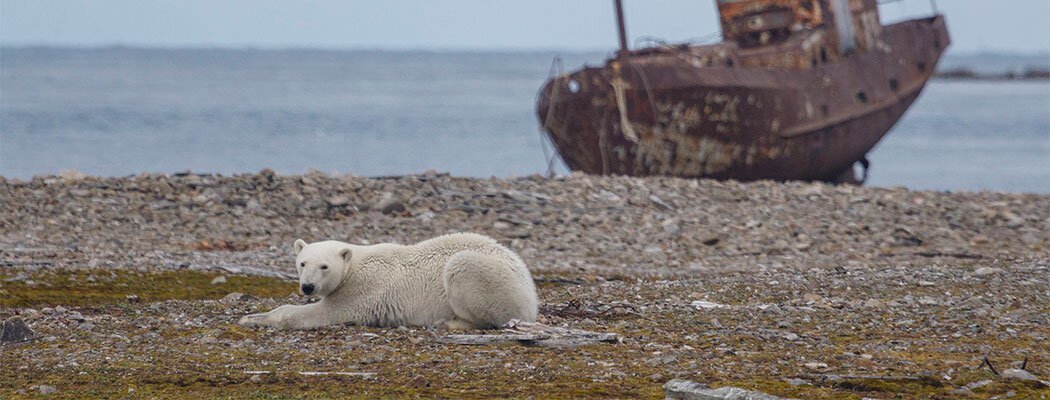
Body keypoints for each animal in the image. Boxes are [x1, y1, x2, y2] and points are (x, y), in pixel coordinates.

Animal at [239, 232, 541, 329]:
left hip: (492, 277)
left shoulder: (362, 290)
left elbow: (325, 313)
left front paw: (253, 318)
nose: (307, 286)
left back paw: (449, 322)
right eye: (302, 263)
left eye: (324, 266)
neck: (354, 264)